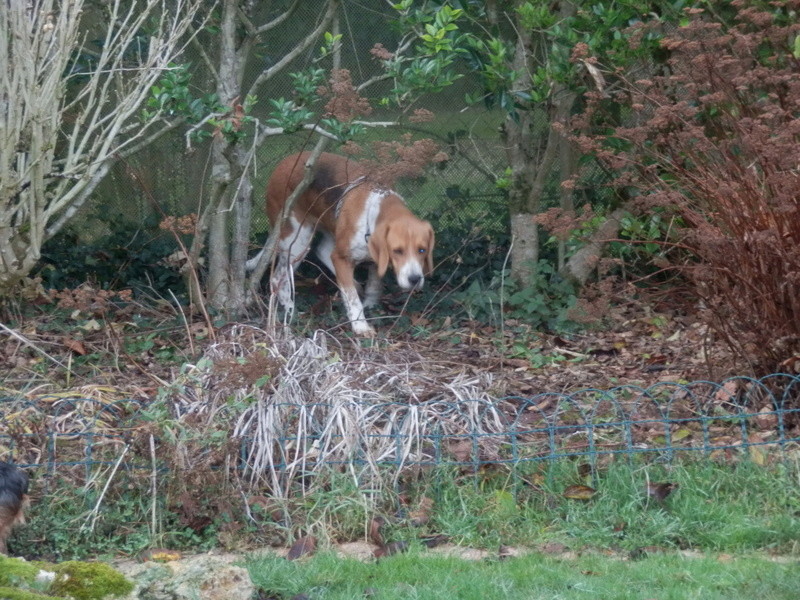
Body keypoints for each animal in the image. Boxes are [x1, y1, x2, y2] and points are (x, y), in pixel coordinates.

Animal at [264, 152, 434, 336]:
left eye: (422, 250)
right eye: (397, 251)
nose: (415, 279)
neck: (374, 211)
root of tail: (284, 162)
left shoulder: (375, 260)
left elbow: (374, 286)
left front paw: (370, 306)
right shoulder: (341, 258)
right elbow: (352, 298)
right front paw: (361, 326)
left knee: (322, 251)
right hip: (297, 241)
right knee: (278, 279)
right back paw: (290, 310)